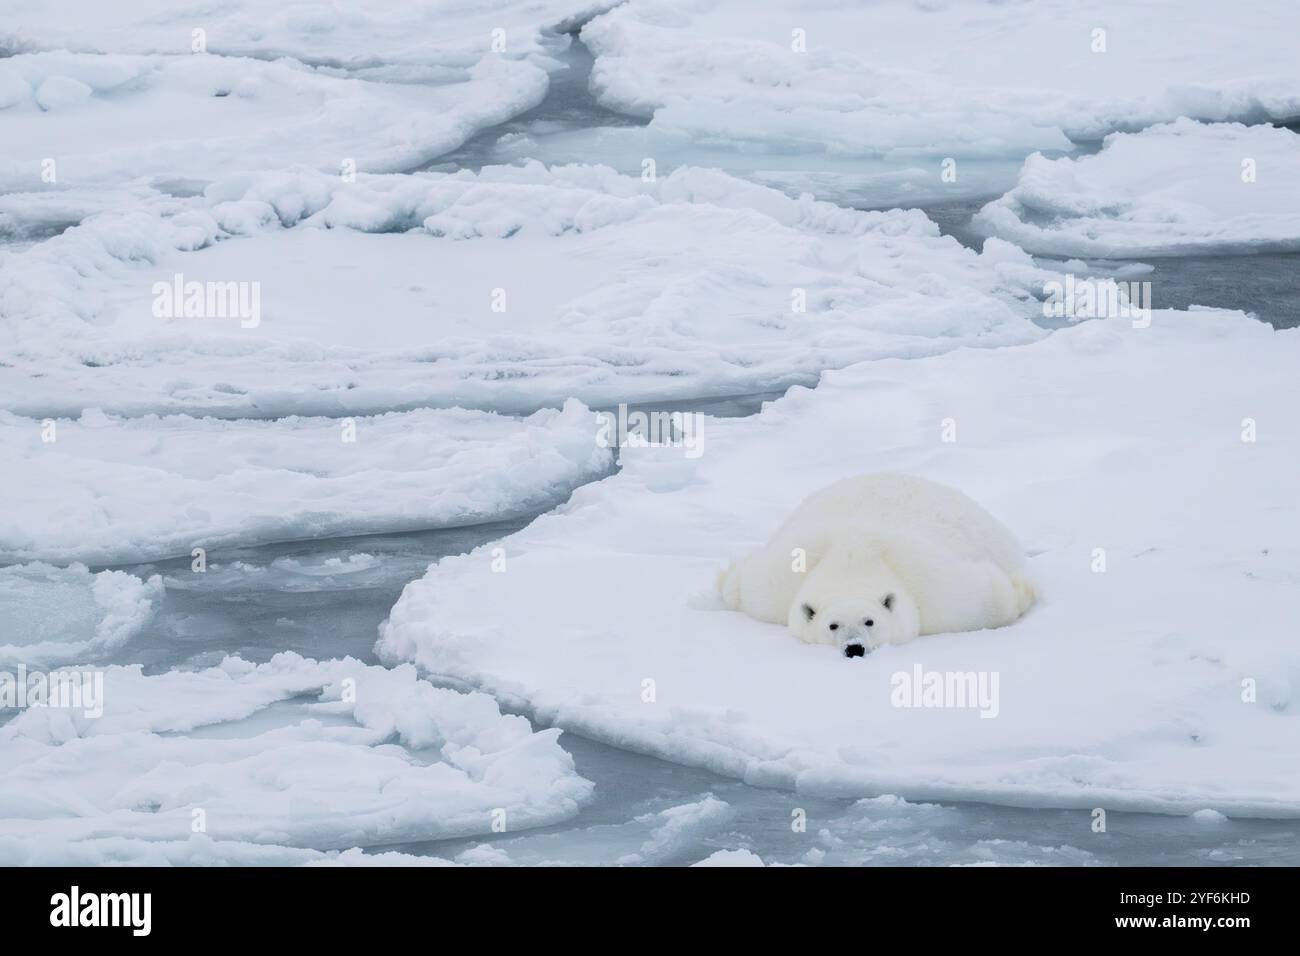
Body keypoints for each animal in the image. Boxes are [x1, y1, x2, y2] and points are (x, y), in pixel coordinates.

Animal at [718, 472, 1036, 657]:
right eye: (833, 625)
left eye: (869, 620)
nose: (854, 647)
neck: (854, 559)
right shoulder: (779, 583)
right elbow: (743, 584)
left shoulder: (937, 592)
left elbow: (988, 599)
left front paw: (1023, 589)